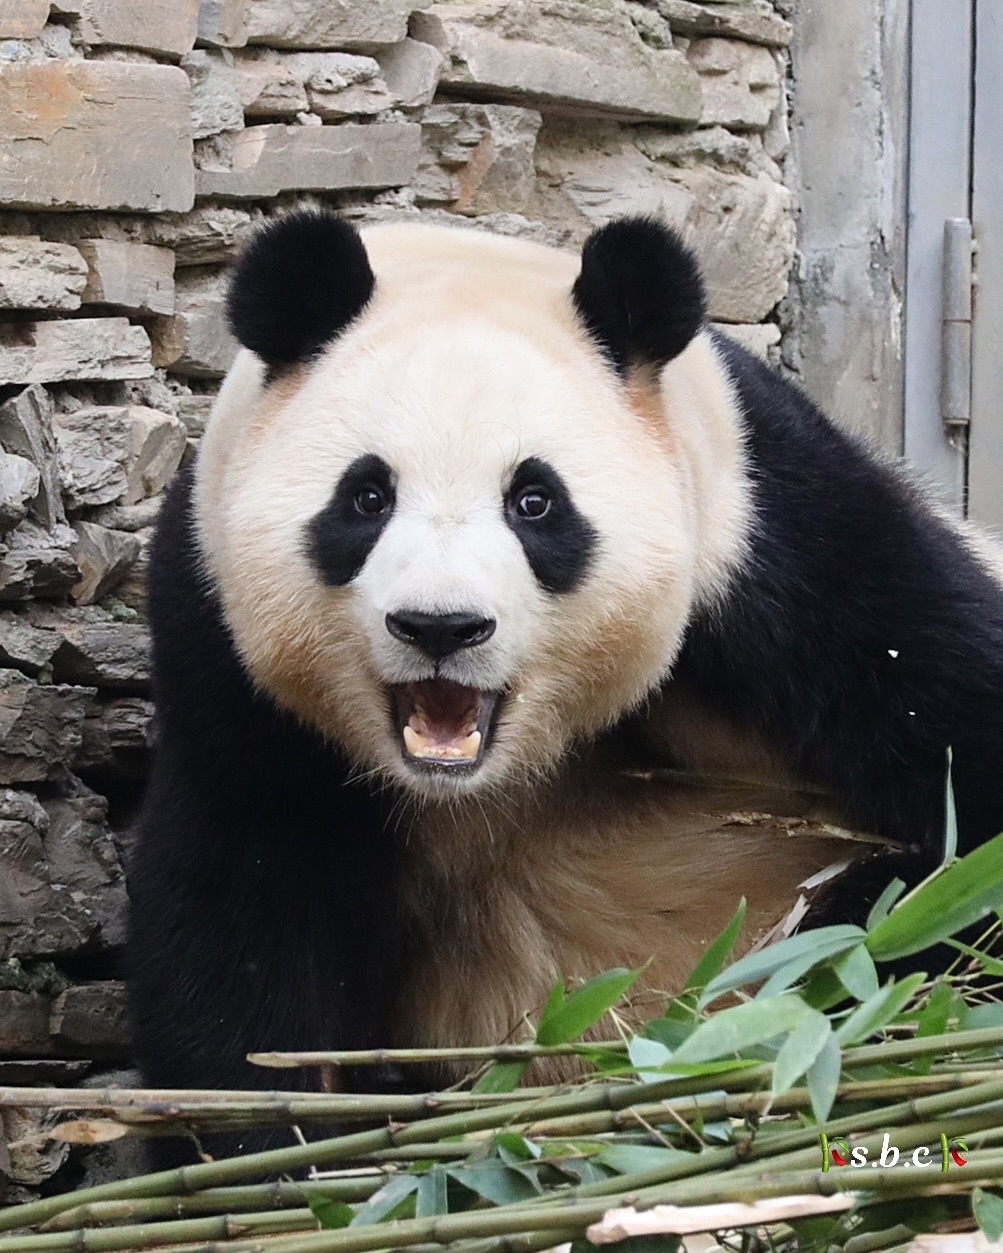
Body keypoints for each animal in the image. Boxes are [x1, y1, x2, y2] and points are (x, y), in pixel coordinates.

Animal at [129, 210, 1003, 1147]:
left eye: (534, 501)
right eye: (365, 498)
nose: (441, 626)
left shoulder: (780, 553)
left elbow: (962, 773)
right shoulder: (222, 649)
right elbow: (242, 906)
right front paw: (278, 1135)